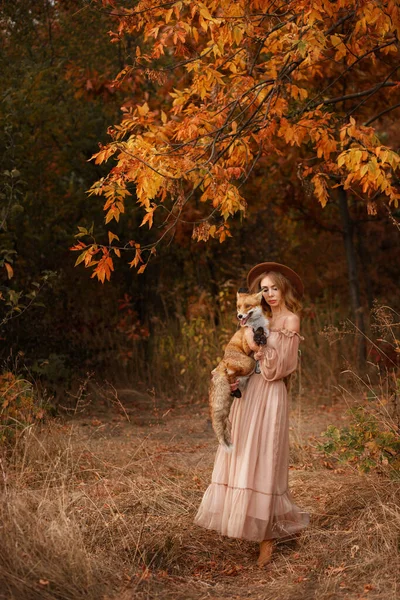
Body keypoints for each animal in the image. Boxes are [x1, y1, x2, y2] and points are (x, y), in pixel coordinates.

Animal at [208, 290, 270, 450]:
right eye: (238, 307)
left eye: (247, 306)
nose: (239, 316)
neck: (256, 325)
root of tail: (222, 363)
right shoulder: (247, 343)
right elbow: (256, 336)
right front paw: (259, 337)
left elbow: (264, 333)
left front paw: (263, 336)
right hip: (248, 363)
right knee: (232, 374)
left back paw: (236, 391)